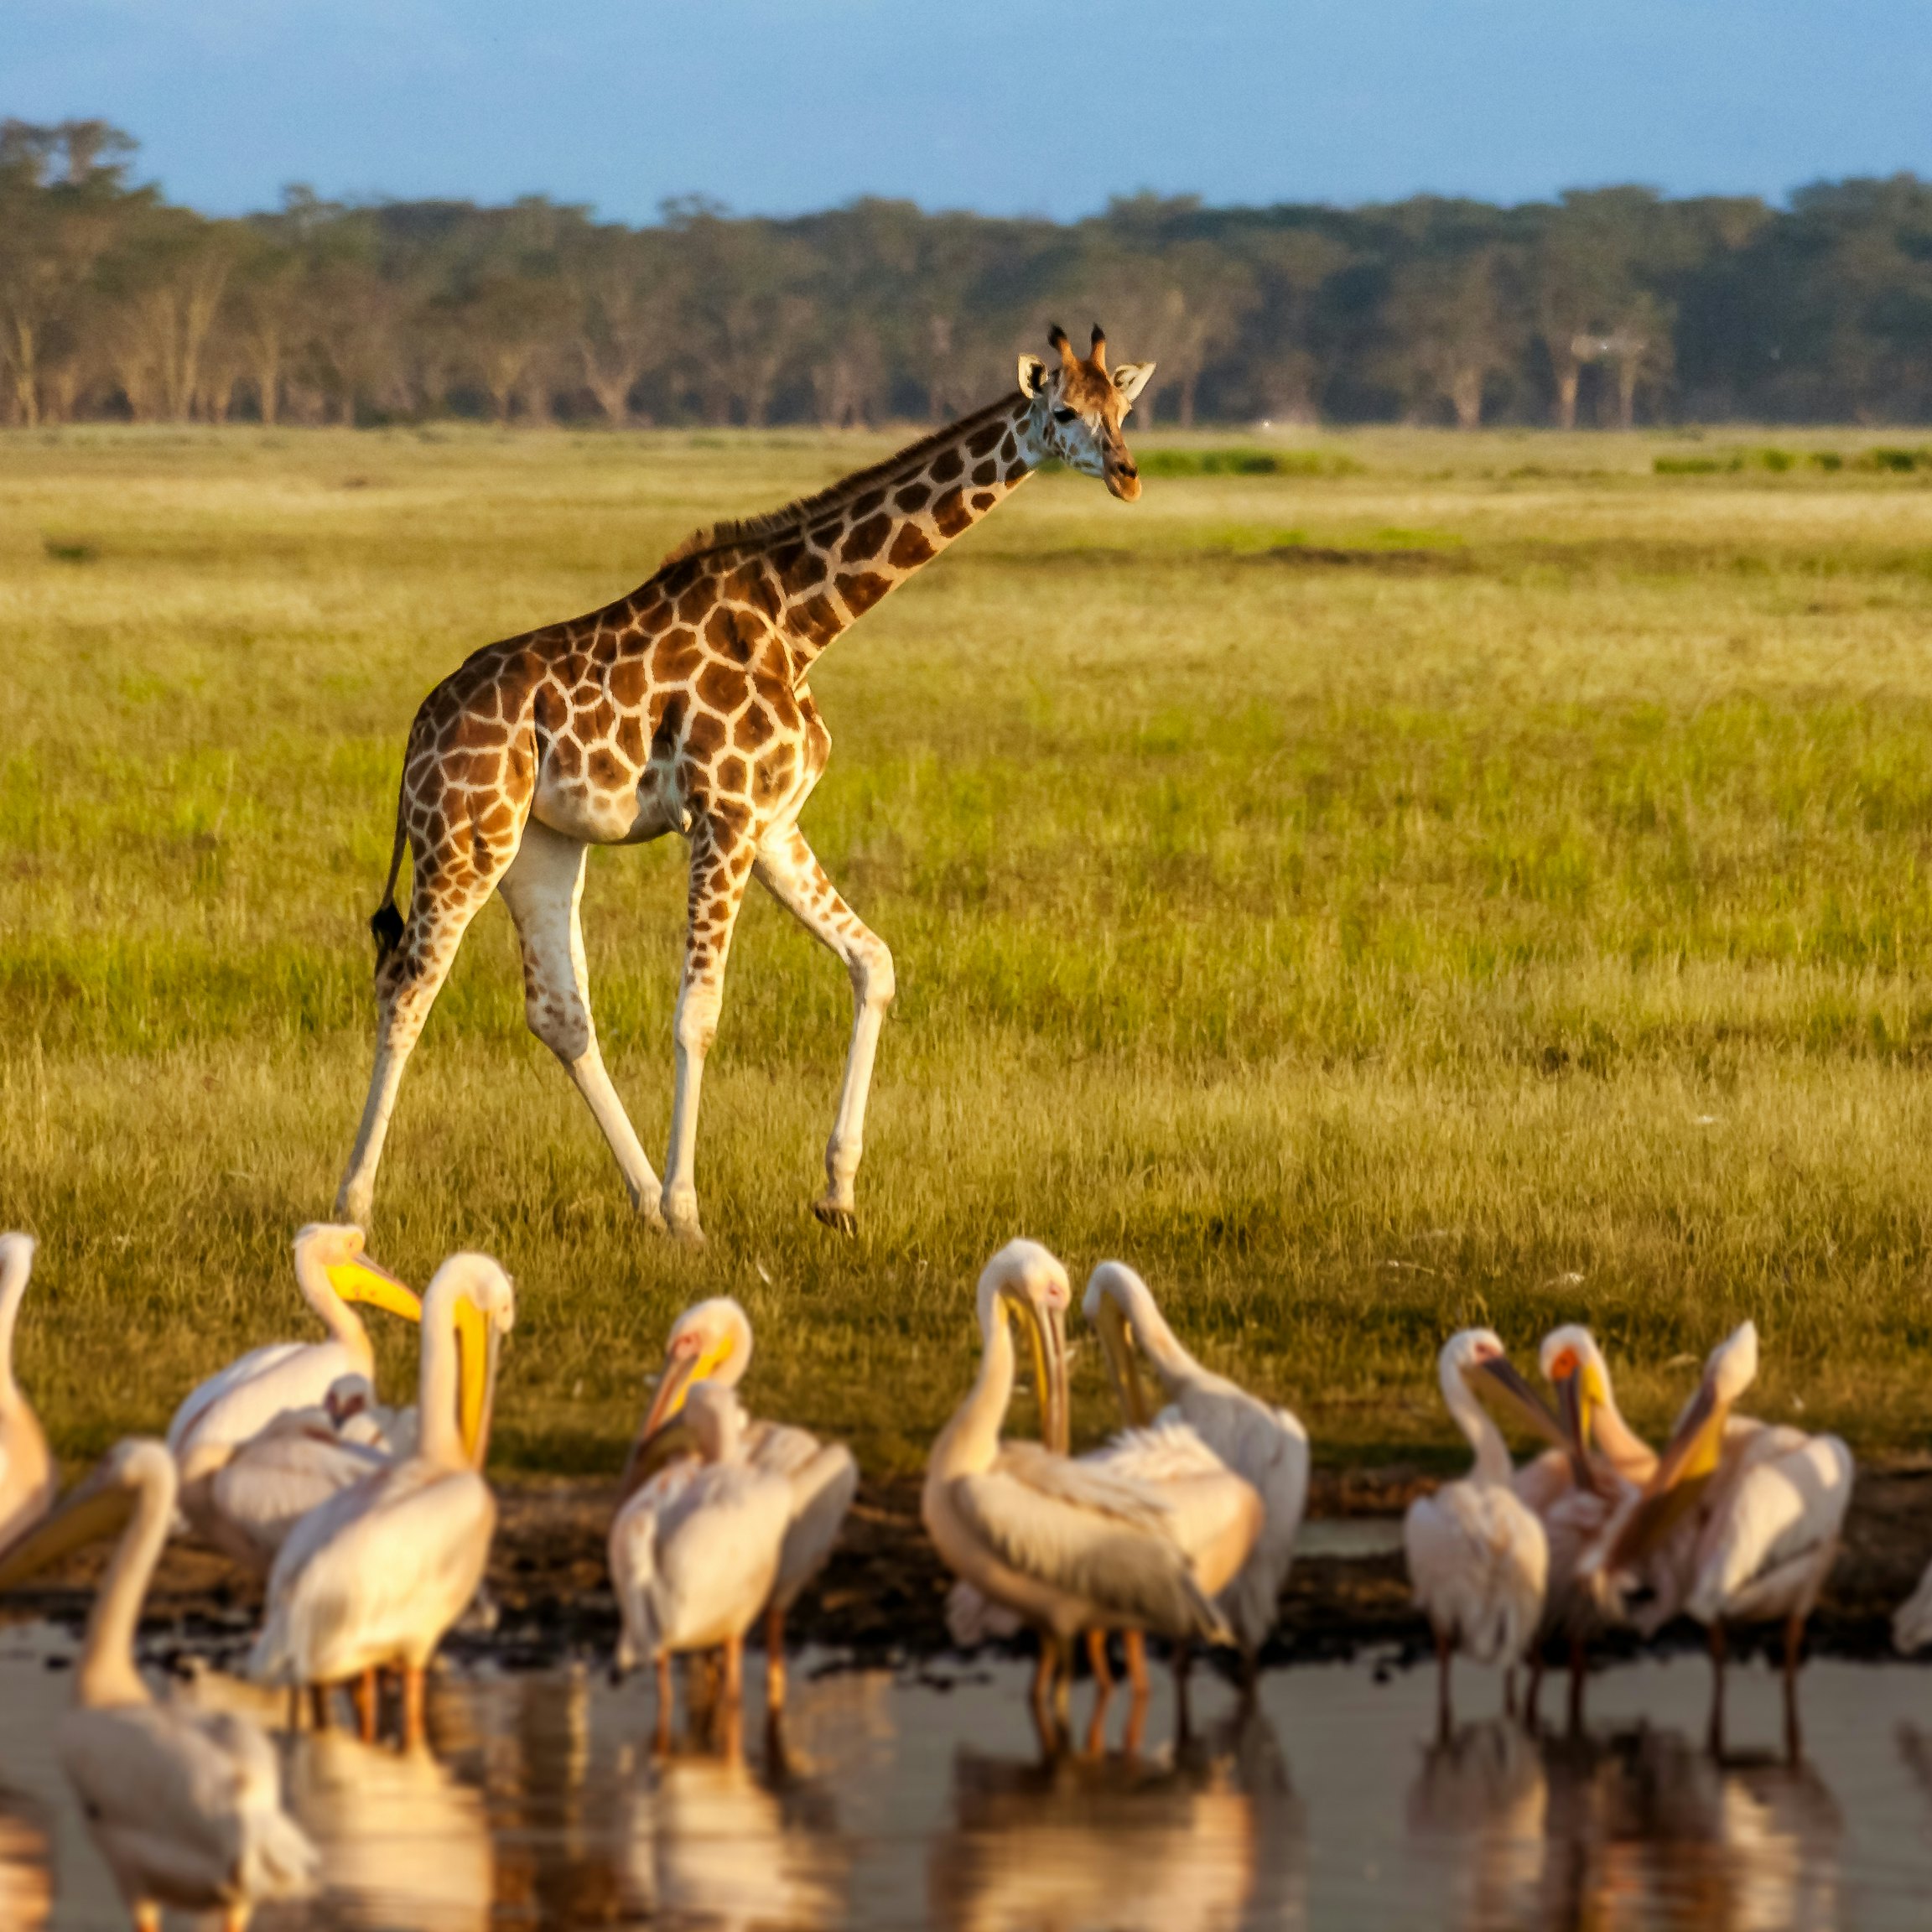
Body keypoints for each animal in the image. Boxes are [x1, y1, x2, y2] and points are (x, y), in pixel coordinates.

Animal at [335, 324, 1155, 1244]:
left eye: (1123, 409)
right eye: (1064, 412)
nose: (1127, 473)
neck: (802, 625)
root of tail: (419, 730)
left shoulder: (771, 821)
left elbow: (874, 962)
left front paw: (836, 1194)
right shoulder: (723, 816)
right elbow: (699, 1014)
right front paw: (691, 1212)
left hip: (538, 846)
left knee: (558, 1013)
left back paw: (639, 1200)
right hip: (462, 836)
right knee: (408, 987)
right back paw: (353, 1206)